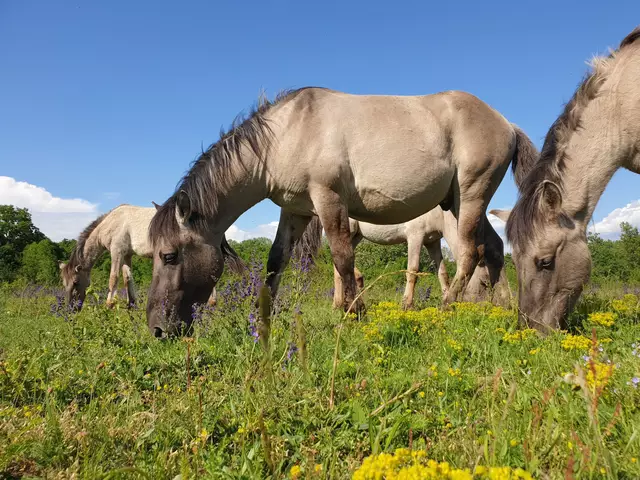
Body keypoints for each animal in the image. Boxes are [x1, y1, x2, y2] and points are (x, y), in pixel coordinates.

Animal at [60, 204, 241, 310]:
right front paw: (131, 305)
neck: (112, 223)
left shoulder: (117, 251)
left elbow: (113, 278)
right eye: (64, 284)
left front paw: (109, 304)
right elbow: (127, 279)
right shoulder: (127, 255)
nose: (71, 309)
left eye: (75, 282)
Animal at [333, 206, 512, 310]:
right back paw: (340, 303)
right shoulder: (415, 236)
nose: (505, 305)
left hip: (356, 236)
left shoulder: (432, 242)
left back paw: (340, 303)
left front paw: (445, 298)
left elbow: (442, 273)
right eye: (485, 281)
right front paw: (407, 305)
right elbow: (413, 271)